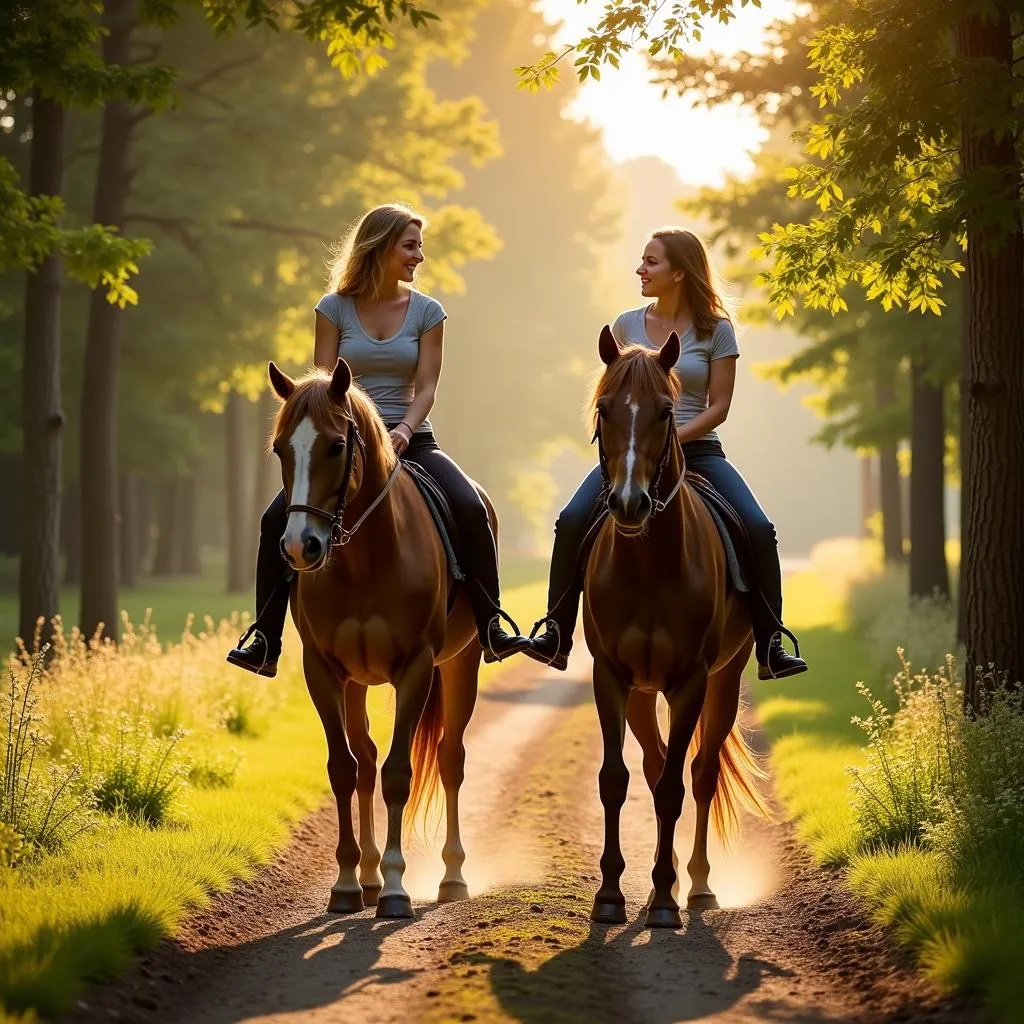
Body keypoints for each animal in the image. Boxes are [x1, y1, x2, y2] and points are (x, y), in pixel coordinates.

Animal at [266, 356, 485, 917]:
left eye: (335, 446)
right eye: (280, 449)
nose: (299, 548)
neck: (364, 559)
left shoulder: (416, 669)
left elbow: (397, 773)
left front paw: (395, 887)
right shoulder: (323, 670)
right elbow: (344, 769)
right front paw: (347, 883)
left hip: (462, 662)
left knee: (451, 759)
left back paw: (453, 877)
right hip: (356, 681)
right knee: (363, 760)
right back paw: (364, 877)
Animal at [581, 327, 770, 929]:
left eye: (666, 411)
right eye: (604, 408)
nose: (629, 503)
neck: (648, 565)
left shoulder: (691, 682)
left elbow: (672, 790)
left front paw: (665, 901)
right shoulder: (611, 678)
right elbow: (616, 780)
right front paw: (611, 896)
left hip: (724, 681)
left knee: (702, 773)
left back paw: (700, 887)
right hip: (643, 694)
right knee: (655, 762)